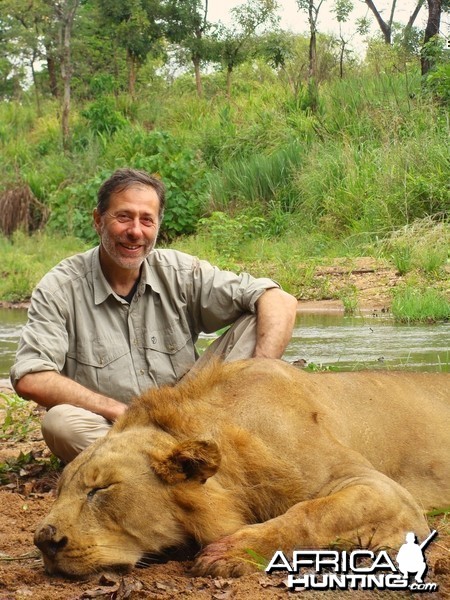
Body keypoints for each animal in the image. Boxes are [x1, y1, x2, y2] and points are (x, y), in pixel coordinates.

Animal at [34, 358, 450, 580]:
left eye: (100, 490)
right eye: (59, 491)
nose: (43, 540)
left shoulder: (388, 494)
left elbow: (310, 514)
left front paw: (229, 553)